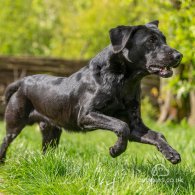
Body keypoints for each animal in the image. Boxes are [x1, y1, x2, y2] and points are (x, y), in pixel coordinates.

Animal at [0, 20, 183, 163]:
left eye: (164, 39)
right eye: (151, 41)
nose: (179, 55)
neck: (124, 82)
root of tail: (22, 81)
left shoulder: (135, 125)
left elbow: (158, 135)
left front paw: (172, 154)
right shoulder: (87, 115)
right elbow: (121, 126)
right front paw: (115, 150)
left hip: (52, 130)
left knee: (46, 150)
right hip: (14, 123)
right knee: (5, 142)